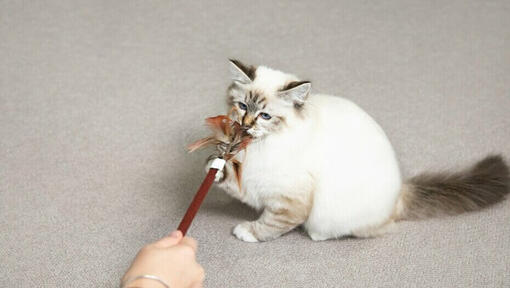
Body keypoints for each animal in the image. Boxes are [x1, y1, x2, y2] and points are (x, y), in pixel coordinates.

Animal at [205, 59, 508, 242]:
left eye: (265, 116)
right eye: (242, 107)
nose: (246, 125)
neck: (259, 147)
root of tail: (400, 191)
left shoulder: (288, 198)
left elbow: (271, 223)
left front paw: (247, 232)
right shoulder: (252, 182)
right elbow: (230, 179)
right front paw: (214, 166)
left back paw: (317, 235)